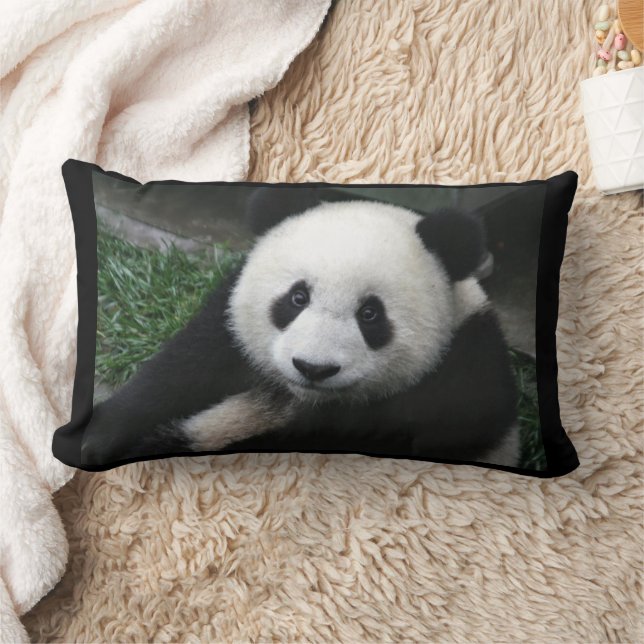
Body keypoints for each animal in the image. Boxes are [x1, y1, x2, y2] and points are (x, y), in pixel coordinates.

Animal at [82, 192, 520, 468]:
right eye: (297, 298)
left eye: (370, 314)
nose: (313, 368)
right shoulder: (228, 324)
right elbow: (181, 368)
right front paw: (95, 439)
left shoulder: (460, 381)